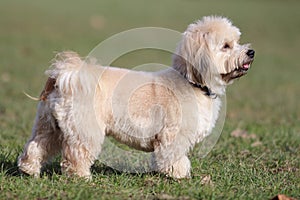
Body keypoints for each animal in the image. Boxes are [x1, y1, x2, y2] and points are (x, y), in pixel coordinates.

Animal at [18, 15, 253, 178]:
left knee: (37, 145)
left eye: (238, 41)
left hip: (49, 125)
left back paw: (29, 169)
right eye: (226, 46)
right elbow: (173, 155)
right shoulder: (173, 135)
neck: (192, 82)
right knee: (76, 154)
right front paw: (179, 174)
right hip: (84, 129)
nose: (251, 52)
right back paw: (81, 176)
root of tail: (68, 76)